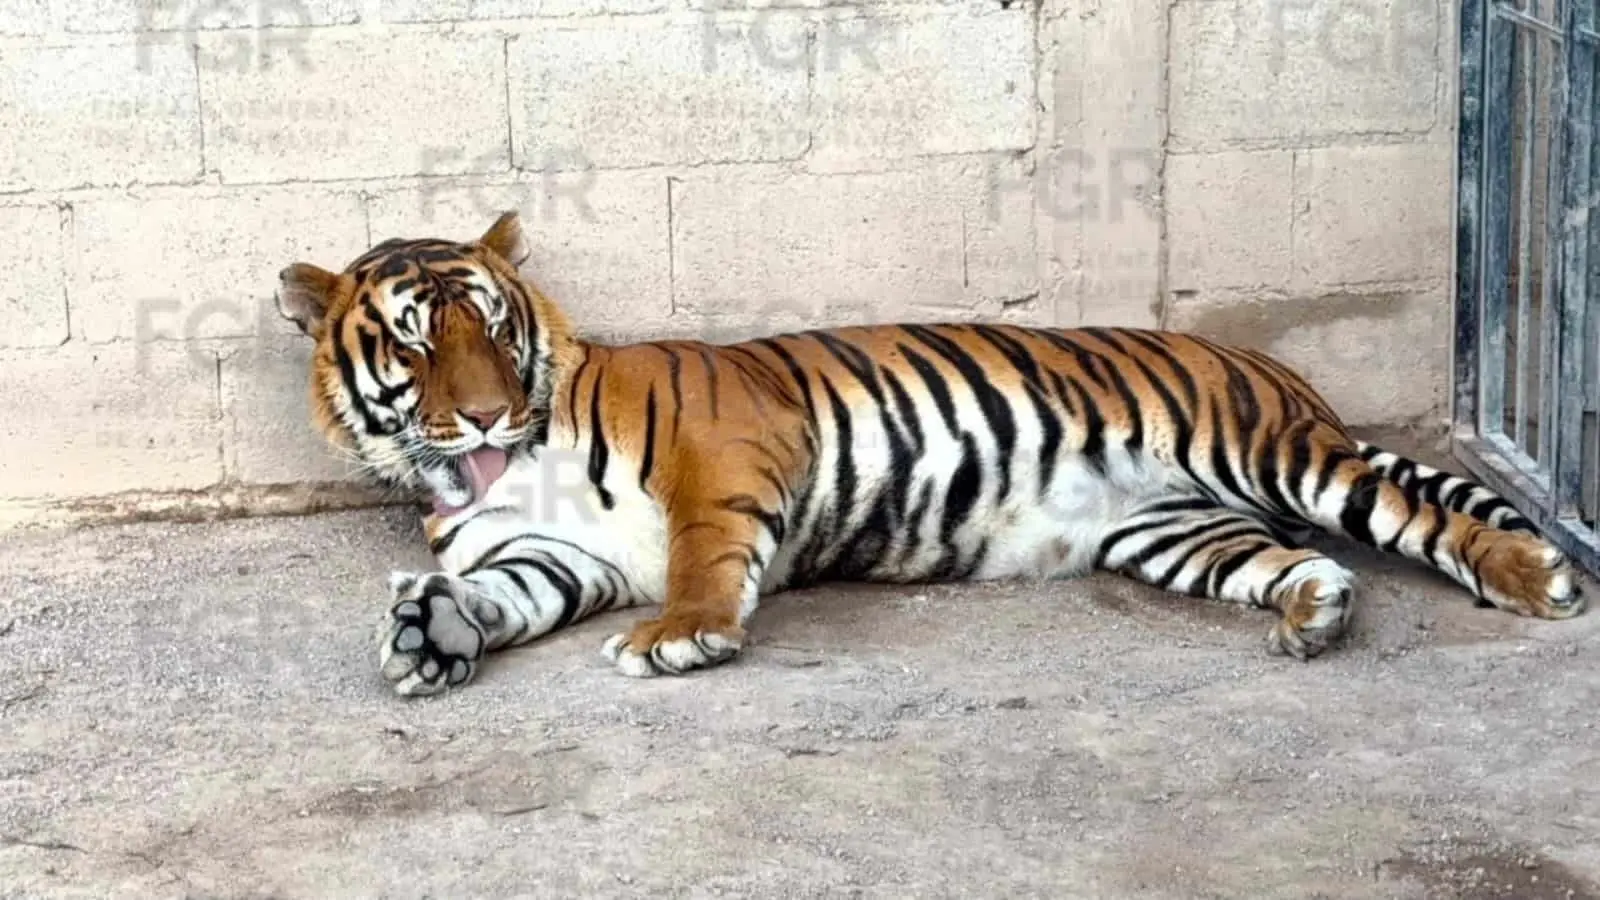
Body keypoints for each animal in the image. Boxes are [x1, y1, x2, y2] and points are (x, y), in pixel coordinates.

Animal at [273, 210, 1585, 698]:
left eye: (493, 329)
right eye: (415, 341)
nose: (489, 417)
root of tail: (1273, 367)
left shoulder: (726, 449)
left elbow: (703, 553)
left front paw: (681, 634)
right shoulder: (555, 555)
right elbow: (500, 595)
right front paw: (431, 634)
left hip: (1275, 454)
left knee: (1416, 513)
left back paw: (1539, 580)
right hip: (1177, 531)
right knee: (1301, 562)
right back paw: (1315, 614)